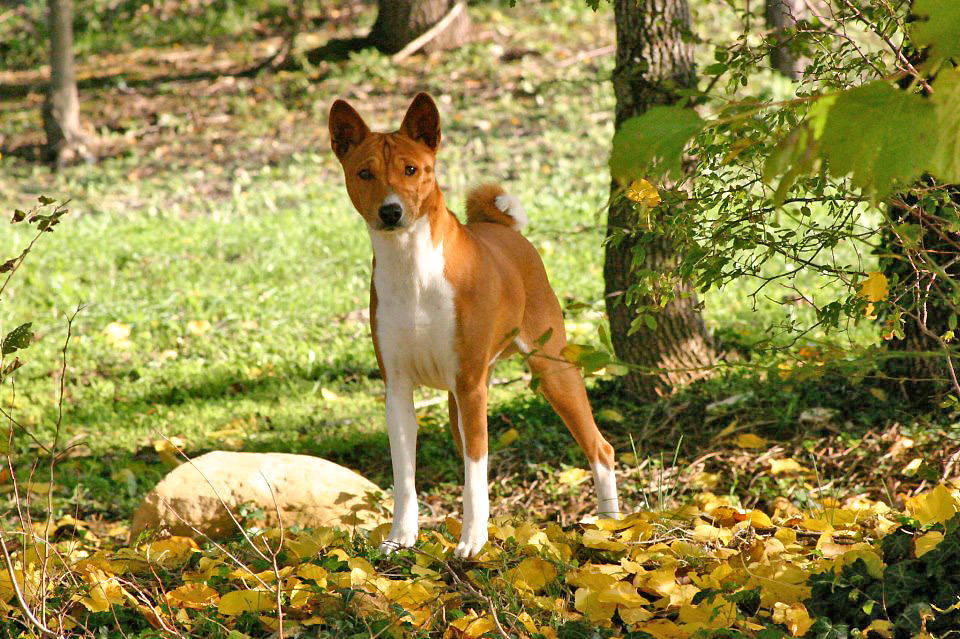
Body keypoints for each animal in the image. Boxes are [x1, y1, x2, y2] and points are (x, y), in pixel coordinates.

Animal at [326, 92, 620, 556]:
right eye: (364, 173)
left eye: (411, 169)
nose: (391, 212)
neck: (413, 272)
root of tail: (503, 230)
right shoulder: (398, 388)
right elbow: (405, 477)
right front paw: (400, 539)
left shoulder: (470, 386)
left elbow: (474, 478)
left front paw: (472, 542)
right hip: (457, 402)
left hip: (551, 370)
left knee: (600, 448)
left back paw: (609, 524)